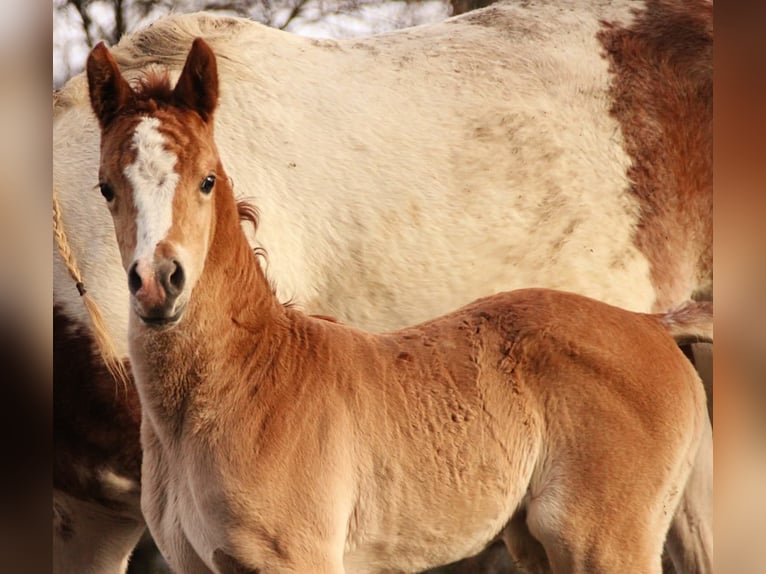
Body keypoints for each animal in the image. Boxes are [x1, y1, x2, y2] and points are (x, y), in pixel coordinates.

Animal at [53, 1, 713, 572]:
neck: (247, 375)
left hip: (604, 542)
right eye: (105, 187)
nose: (158, 284)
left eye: (207, 180)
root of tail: (651, 324)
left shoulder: (298, 558)